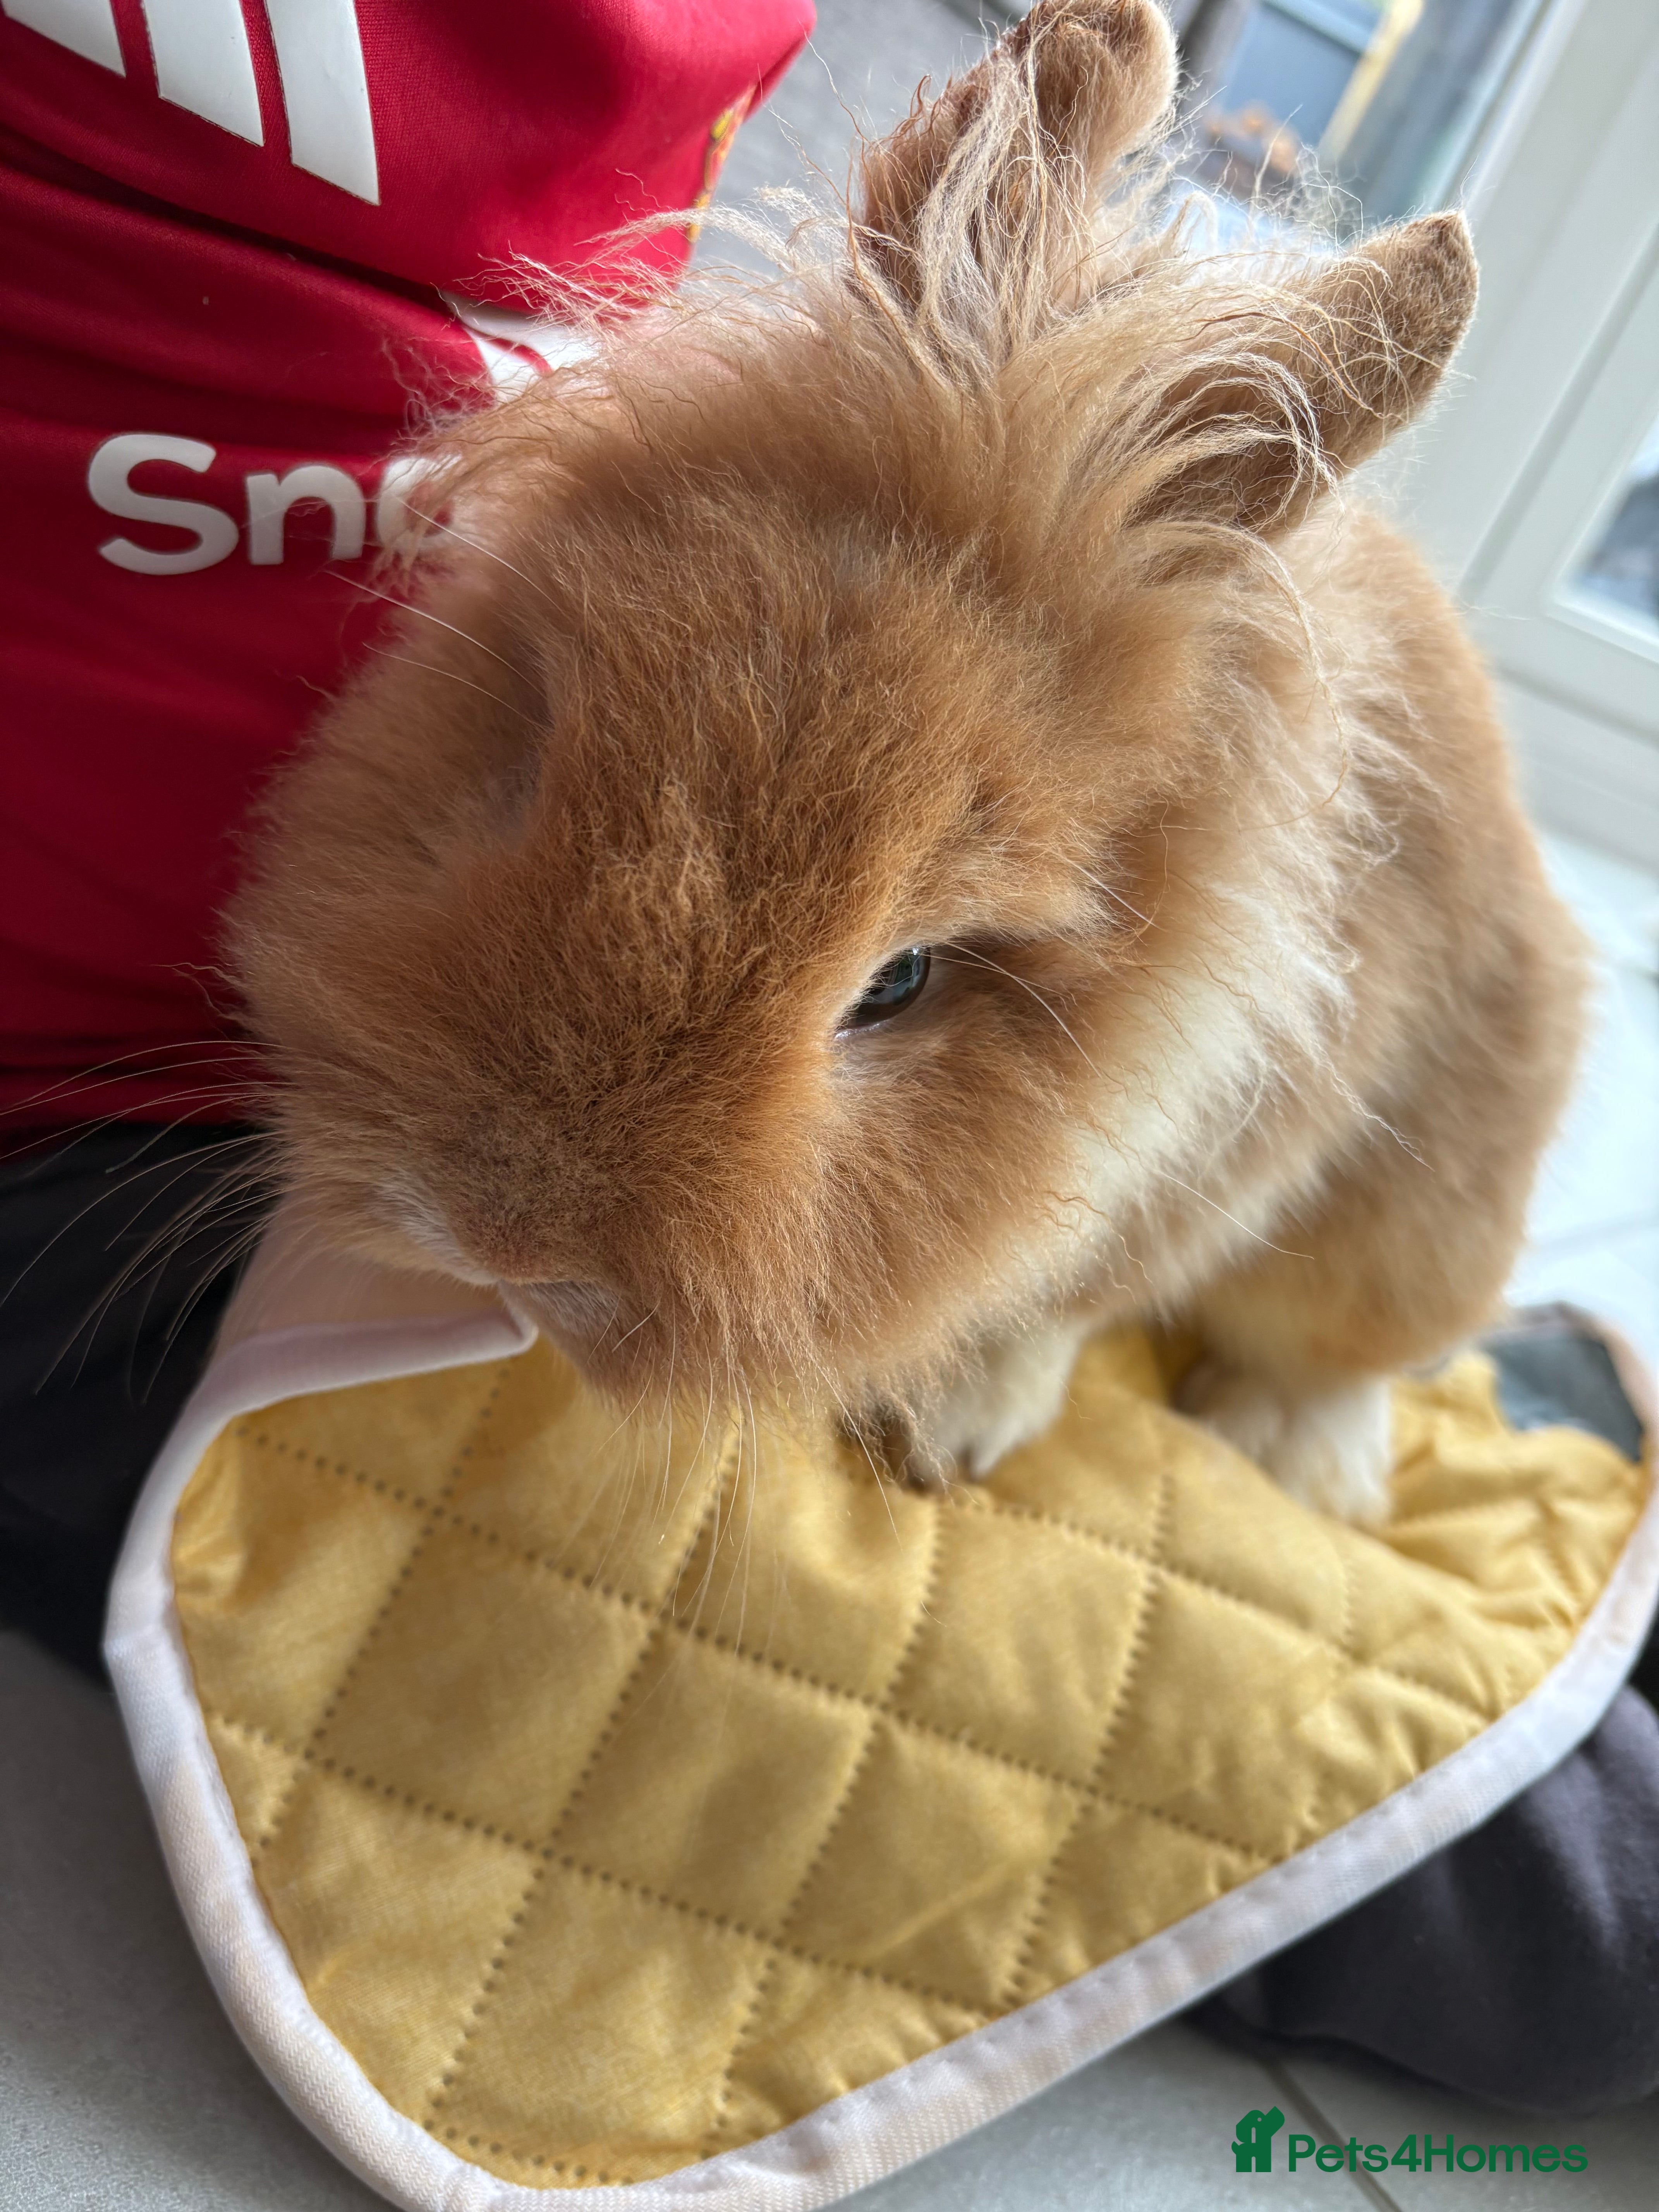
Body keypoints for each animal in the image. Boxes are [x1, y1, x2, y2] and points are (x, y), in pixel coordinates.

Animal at [227, 0, 1586, 1524]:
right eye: (533, 759)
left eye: (901, 983)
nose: (499, 1236)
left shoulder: (1236, 1143)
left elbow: (1076, 1290)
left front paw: (956, 1424)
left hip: (1426, 1221)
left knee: (1354, 1354)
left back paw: (1289, 1449)